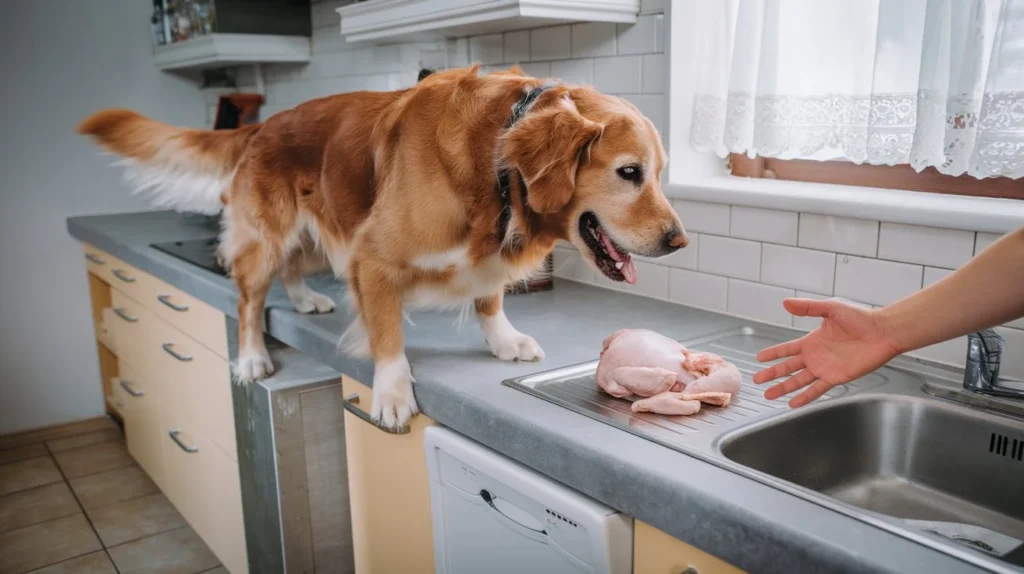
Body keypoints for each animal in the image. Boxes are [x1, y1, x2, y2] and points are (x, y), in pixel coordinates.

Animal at [77, 64, 688, 427]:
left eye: (659, 173)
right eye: (629, 172)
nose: (680, 240)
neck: (495, 163)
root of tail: (265, 123)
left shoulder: (472, 254)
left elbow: (489, 296)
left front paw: (503, 339)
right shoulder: (372, 259)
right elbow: (388, 335)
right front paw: (393, 393)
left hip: (321, 226)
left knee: (294, 267)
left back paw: (305, 300)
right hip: (266, 238)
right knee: (249, 298)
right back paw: (251, 356)